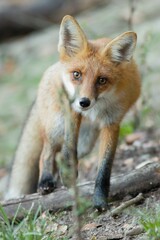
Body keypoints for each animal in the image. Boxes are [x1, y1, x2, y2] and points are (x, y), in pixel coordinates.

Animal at [5, 15, 140, 210]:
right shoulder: (72, 110)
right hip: (57, 124)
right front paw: (68, 173)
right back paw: (45, 181)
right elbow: (68, 147)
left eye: (102, 80)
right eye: (77, 74)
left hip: (86, 142)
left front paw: (100, 200)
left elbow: (104, 168)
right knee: (47, 152)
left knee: (59, 155)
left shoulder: (112, 122)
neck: (96, 109)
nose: (84, 102)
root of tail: (54, 66)